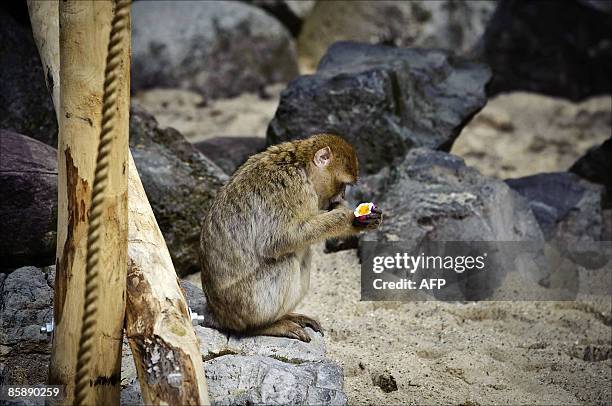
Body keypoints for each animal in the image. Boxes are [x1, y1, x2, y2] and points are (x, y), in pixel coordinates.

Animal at [200, 134, 382, 342]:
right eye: (343, 184)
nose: (342, 196)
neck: (301, 166)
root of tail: (217, 313)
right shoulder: (292, 188)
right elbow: (278, 240)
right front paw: (345, 217)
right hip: (246, 303)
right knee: (287, 259)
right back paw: (265, 326)